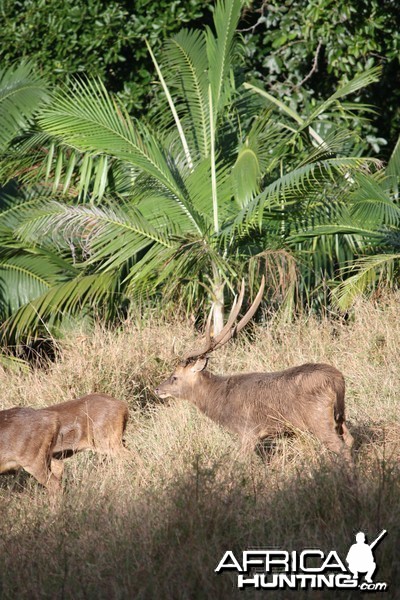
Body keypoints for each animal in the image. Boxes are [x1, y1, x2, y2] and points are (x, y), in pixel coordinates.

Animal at [155, 278, 354, 462]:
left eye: (174, 377)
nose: (157, 389)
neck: (219, 402)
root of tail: (337, 380)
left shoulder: (247, 431)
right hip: (340, 416)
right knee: (350, 440)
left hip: (318, 418)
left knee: (341, 446)